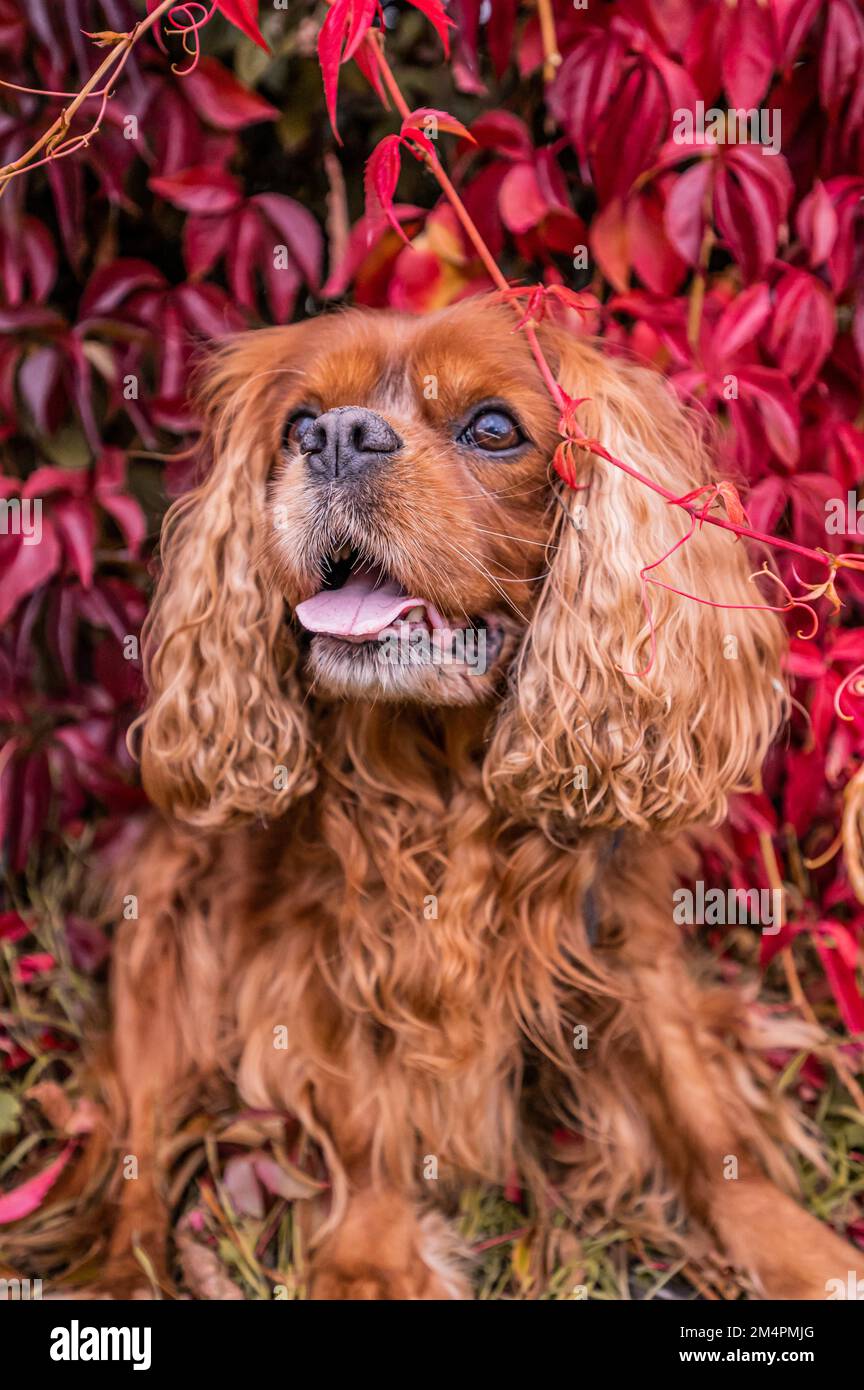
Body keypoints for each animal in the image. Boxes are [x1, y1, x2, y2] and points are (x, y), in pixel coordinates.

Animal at [89, 296, 861, 1301]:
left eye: (494, 429)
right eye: (299, 425)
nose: (337, 438)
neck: (439, 769)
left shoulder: (622, 934)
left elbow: (701, 1118)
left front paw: (801, 1252)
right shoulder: (328, 942)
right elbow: (365, 1114)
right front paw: (370, 1264)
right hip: (163, 916)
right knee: (137, 1137)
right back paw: (121, 1271)